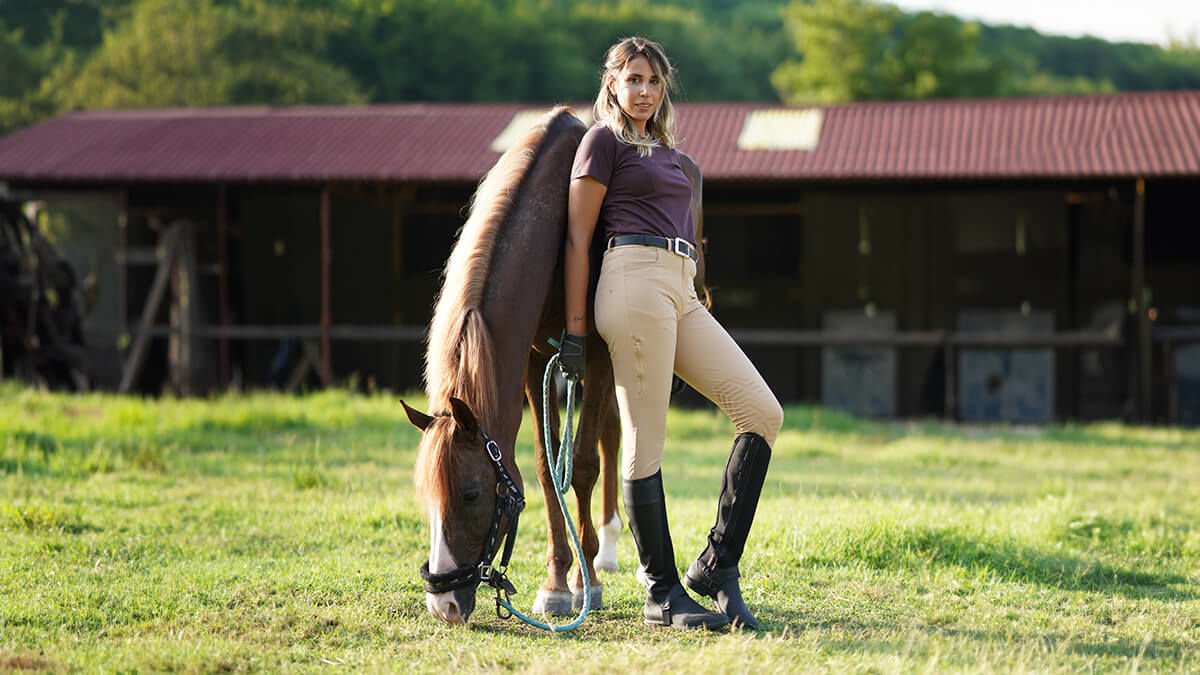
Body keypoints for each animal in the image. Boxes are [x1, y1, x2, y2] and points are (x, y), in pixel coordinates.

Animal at [403, 106, 705, 624]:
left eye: (471, 493)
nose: (443, 603)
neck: (557, 227)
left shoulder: (601, 353)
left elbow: (582, 465)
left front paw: (586, 584)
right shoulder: (532, 361)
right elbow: (547, 468)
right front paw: (558, 582)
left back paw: (609, 556)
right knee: (613, 433)